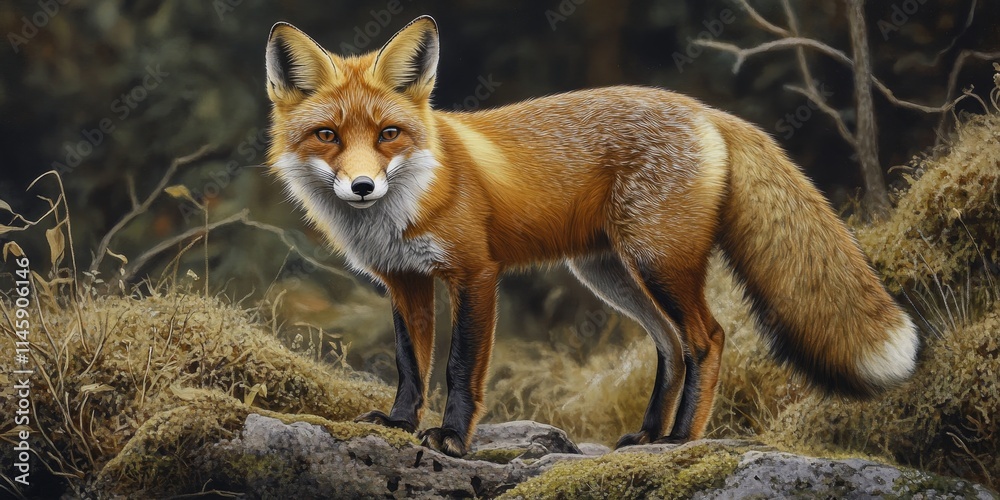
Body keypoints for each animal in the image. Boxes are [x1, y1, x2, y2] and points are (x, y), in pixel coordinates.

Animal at [264, 16, 919, 457]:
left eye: (389, 133)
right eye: (327, 135)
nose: (362, 187)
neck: (407, 203)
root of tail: (703, 109)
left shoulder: (475, 273)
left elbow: (457, 367)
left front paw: (450, 438)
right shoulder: (404, 282)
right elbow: (409, 364)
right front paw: (400, 425)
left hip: (659, 261)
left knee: (707, 338)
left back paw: (681, 441)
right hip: (612, 275)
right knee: (671, 345)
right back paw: (651, 433)